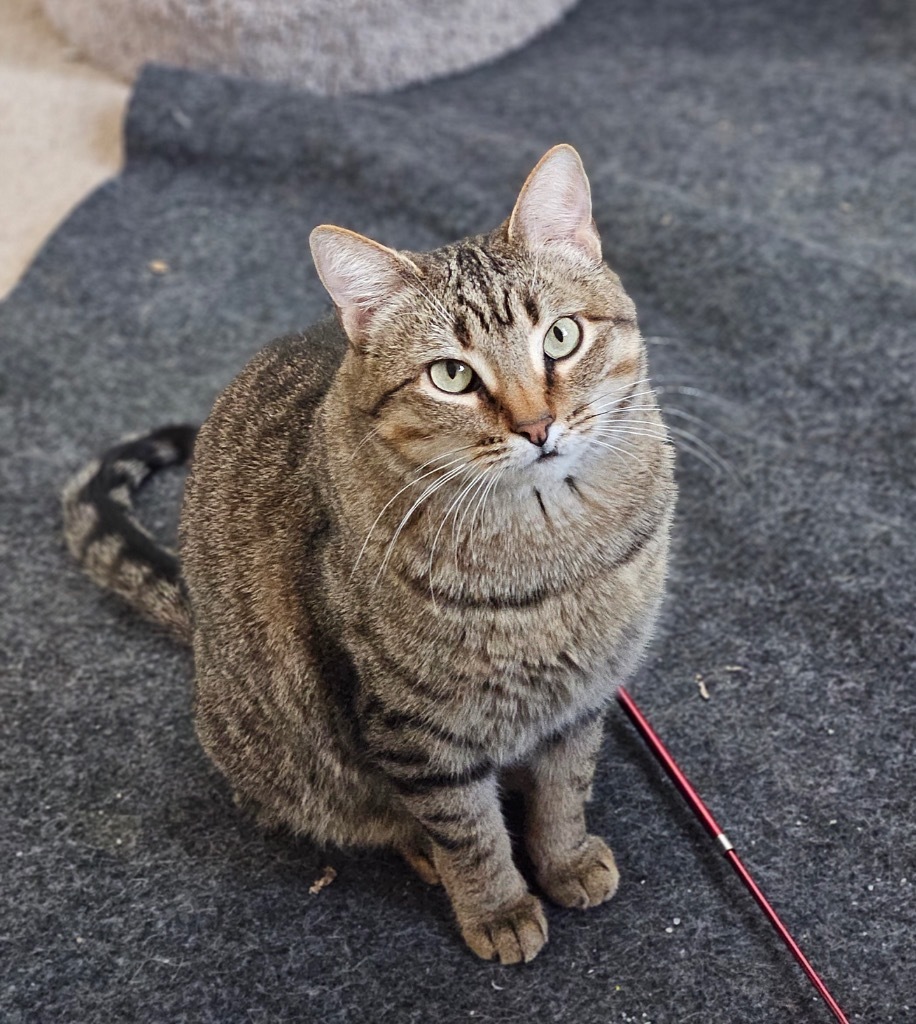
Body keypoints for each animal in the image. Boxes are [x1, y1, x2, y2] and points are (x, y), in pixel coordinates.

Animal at [62, 144, 671, 958]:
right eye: (452, 375)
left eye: (561, 338)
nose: (537, 427)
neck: (553, 549)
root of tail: (198, 636)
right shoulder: (415, 731)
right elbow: (469, 832)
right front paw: (499, 908)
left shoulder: (584, 696)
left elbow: (565, 788)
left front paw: (566, 859)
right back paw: (420, 851)